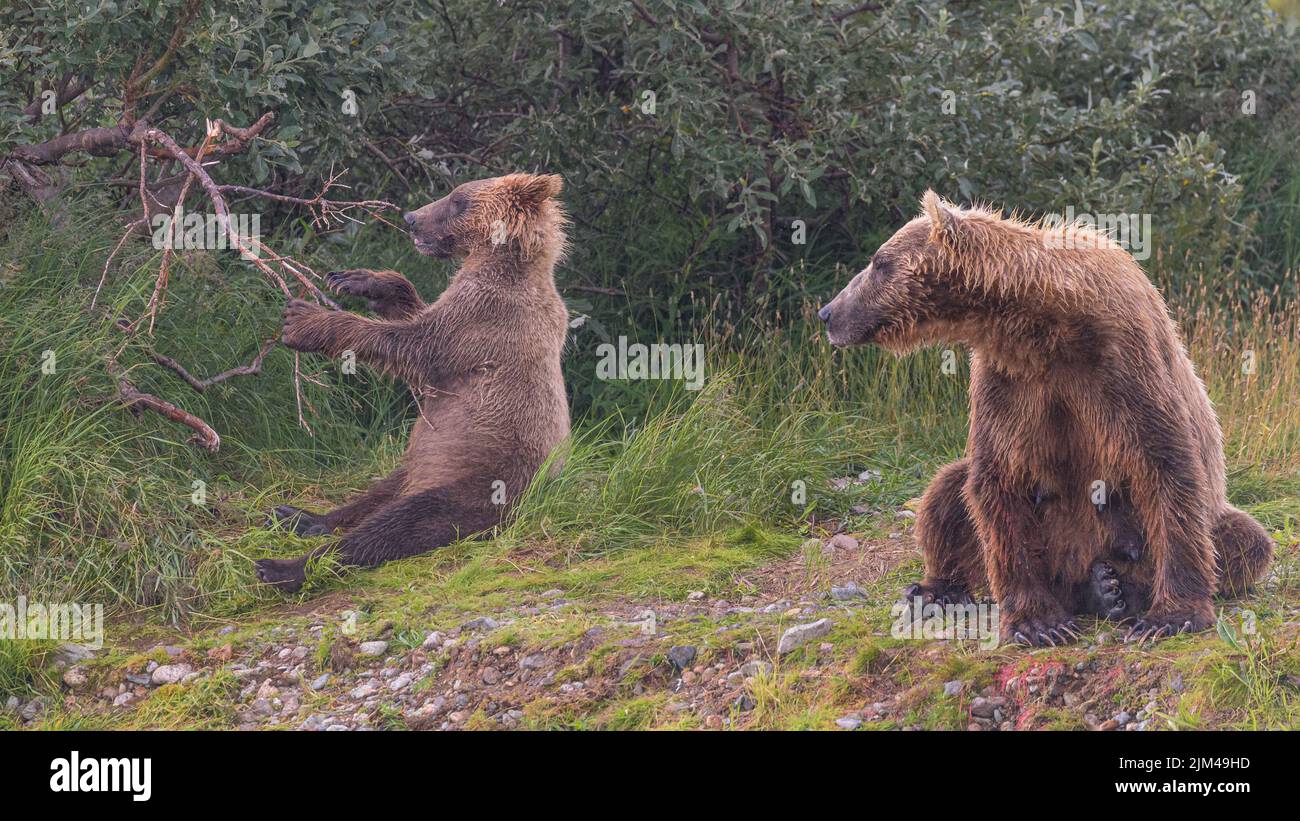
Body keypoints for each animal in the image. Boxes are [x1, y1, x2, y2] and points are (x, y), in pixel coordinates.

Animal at [256, 172, 572, 589]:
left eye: (457, 200)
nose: (410, 218)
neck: (503, 260)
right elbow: (413, 316)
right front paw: (364, 281)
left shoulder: (482, 319)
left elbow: (412, 346)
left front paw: (306, 321)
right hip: (419, 464)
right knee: (378, 493)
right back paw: (302, 517)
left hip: (483, 484)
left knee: (400, 524)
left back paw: (283, 567)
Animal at [816, 193, 1274, 646]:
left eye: (879, 262)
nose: (827, 312)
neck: (1046, 324)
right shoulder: (1010, 381)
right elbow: (998, 480)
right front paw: (1039, 623)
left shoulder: (1122, 362)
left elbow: (1166, 463)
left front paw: (1172, 615)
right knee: (948, 491)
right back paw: (941, 589)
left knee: (1245, 541)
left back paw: (1118, 590)